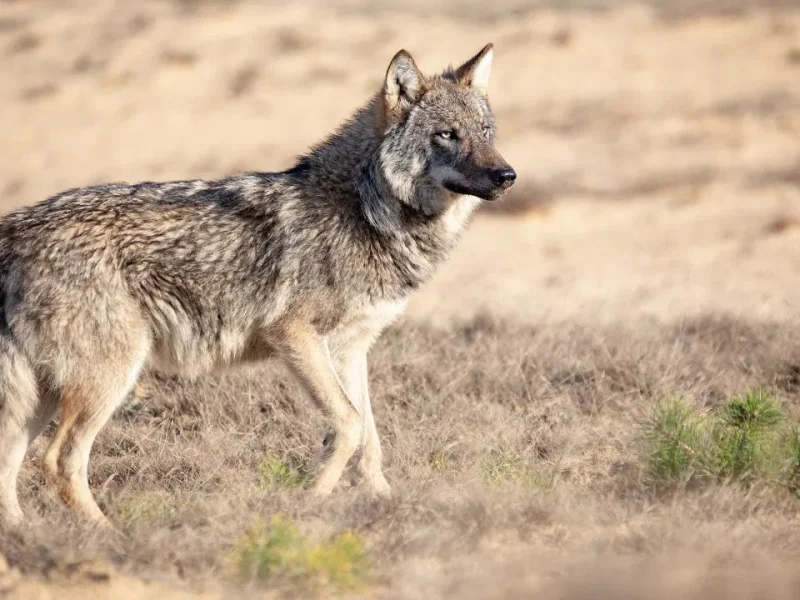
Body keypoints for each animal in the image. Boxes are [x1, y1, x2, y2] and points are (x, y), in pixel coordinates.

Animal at [0, 44, 512, 528]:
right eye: (447, 134)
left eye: (486, 132)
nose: (508, 176)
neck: (366, 209)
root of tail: (16, 230)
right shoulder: (294, 336)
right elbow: (348, 425)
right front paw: (310, 503)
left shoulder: (351, 348)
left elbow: (370, 440)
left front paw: (386, 505)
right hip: (106, 380)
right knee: (59, 460)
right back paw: (109, 537)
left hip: (46, 393)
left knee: (12, 462)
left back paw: (27, 537)